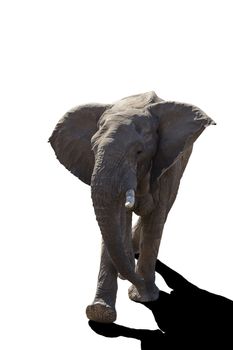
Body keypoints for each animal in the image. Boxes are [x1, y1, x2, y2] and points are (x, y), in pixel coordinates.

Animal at [49, 90, 215, 322]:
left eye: (139, 152)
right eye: (93, 149)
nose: (141, 284)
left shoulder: (166, 164)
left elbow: (155, 218)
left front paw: (143, 297)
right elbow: (115, 218)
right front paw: (99, 312)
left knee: (164, 211)